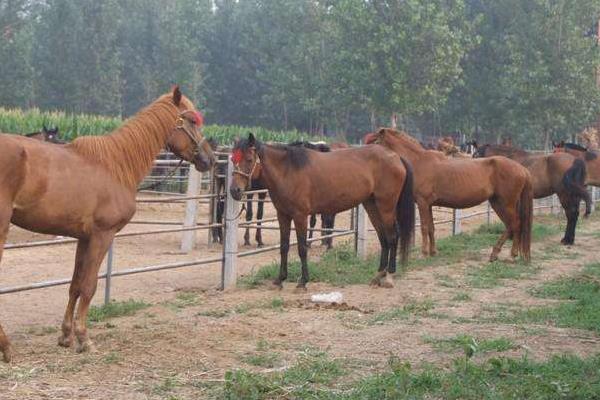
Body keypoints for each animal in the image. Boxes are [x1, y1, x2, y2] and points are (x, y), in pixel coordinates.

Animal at [0, 86, 216, 362]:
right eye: (191, 121)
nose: (209, 160)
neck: (116, 165)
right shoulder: (102, 236)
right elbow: (89, 286)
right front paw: (84, 338)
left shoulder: (84, 238)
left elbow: (75, 285)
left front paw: (66, 336)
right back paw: (6, 347)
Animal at [227, 133, 414, 290]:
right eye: (233, 158)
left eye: (249, 159)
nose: (235, 191)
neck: (288, 170)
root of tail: (396, 157)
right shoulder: (283, 215)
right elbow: (284, 246)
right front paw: (280, 279)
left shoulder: (300, 216)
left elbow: (302, 247)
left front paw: (303, 281)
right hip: (372, 205)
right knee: (383, 238)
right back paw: (378, 275)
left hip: (386, 206)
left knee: (392, 236)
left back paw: (389, 275)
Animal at [364, 128, 532, 262]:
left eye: (374, 141)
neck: (419, 162)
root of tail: (522, 169)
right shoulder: (429, 205)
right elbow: (431, 228)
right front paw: (433, 252)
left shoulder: (423, 203)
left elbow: (424, 227)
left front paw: (423, 253)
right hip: (498, 202)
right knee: (511, 225)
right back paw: (499, 254)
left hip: (505, 203)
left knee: (515, 224)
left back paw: (509, 254)